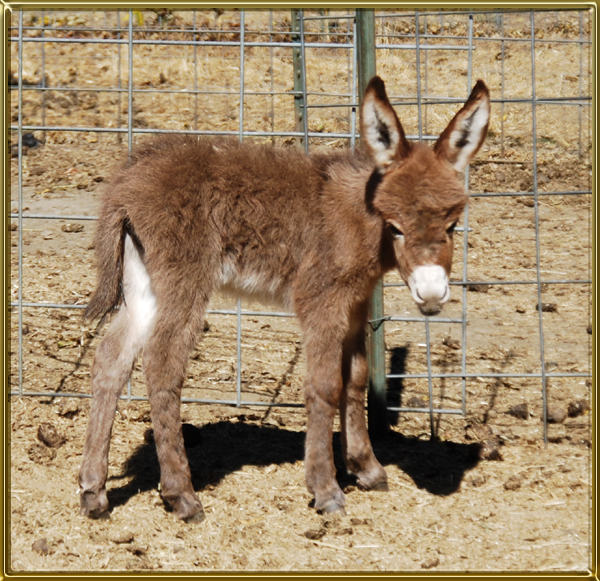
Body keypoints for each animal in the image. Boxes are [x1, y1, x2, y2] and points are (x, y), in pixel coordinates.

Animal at [79, 76, 490, 520]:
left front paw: (366, 467)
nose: (431, 296)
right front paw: (326, 487)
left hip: (144, 285)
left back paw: (93, 491)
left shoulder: (355, 303)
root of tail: (128, 178)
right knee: (162, 364)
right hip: (184, 279)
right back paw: (181, 494)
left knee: (111, 359)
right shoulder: (321, 300)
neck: (358, 216)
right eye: (395, 226)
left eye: (452, 225)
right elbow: (325, 385)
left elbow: (356, 379)